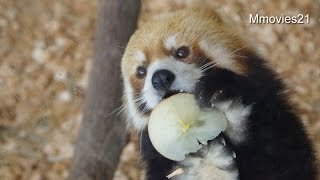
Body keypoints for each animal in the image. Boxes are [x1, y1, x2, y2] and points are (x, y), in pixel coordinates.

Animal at [120, 7, 318, 180]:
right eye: (141, 71)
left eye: (182, 52)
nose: (160, 78)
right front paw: (203, 165)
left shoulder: (274, 114)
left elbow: (284, 163)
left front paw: (230, 109)